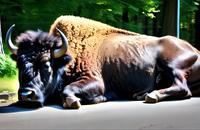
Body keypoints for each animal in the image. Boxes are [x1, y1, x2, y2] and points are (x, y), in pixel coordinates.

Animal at [5, 15, 200, 108]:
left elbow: (68, 90)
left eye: (46, 64)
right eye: (18, 63)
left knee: (183, 88)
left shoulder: (94, 81)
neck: (68, 57)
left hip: (172, 65)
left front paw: (88, 100)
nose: (26, 94)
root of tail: (195, 50)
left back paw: (150, 96)